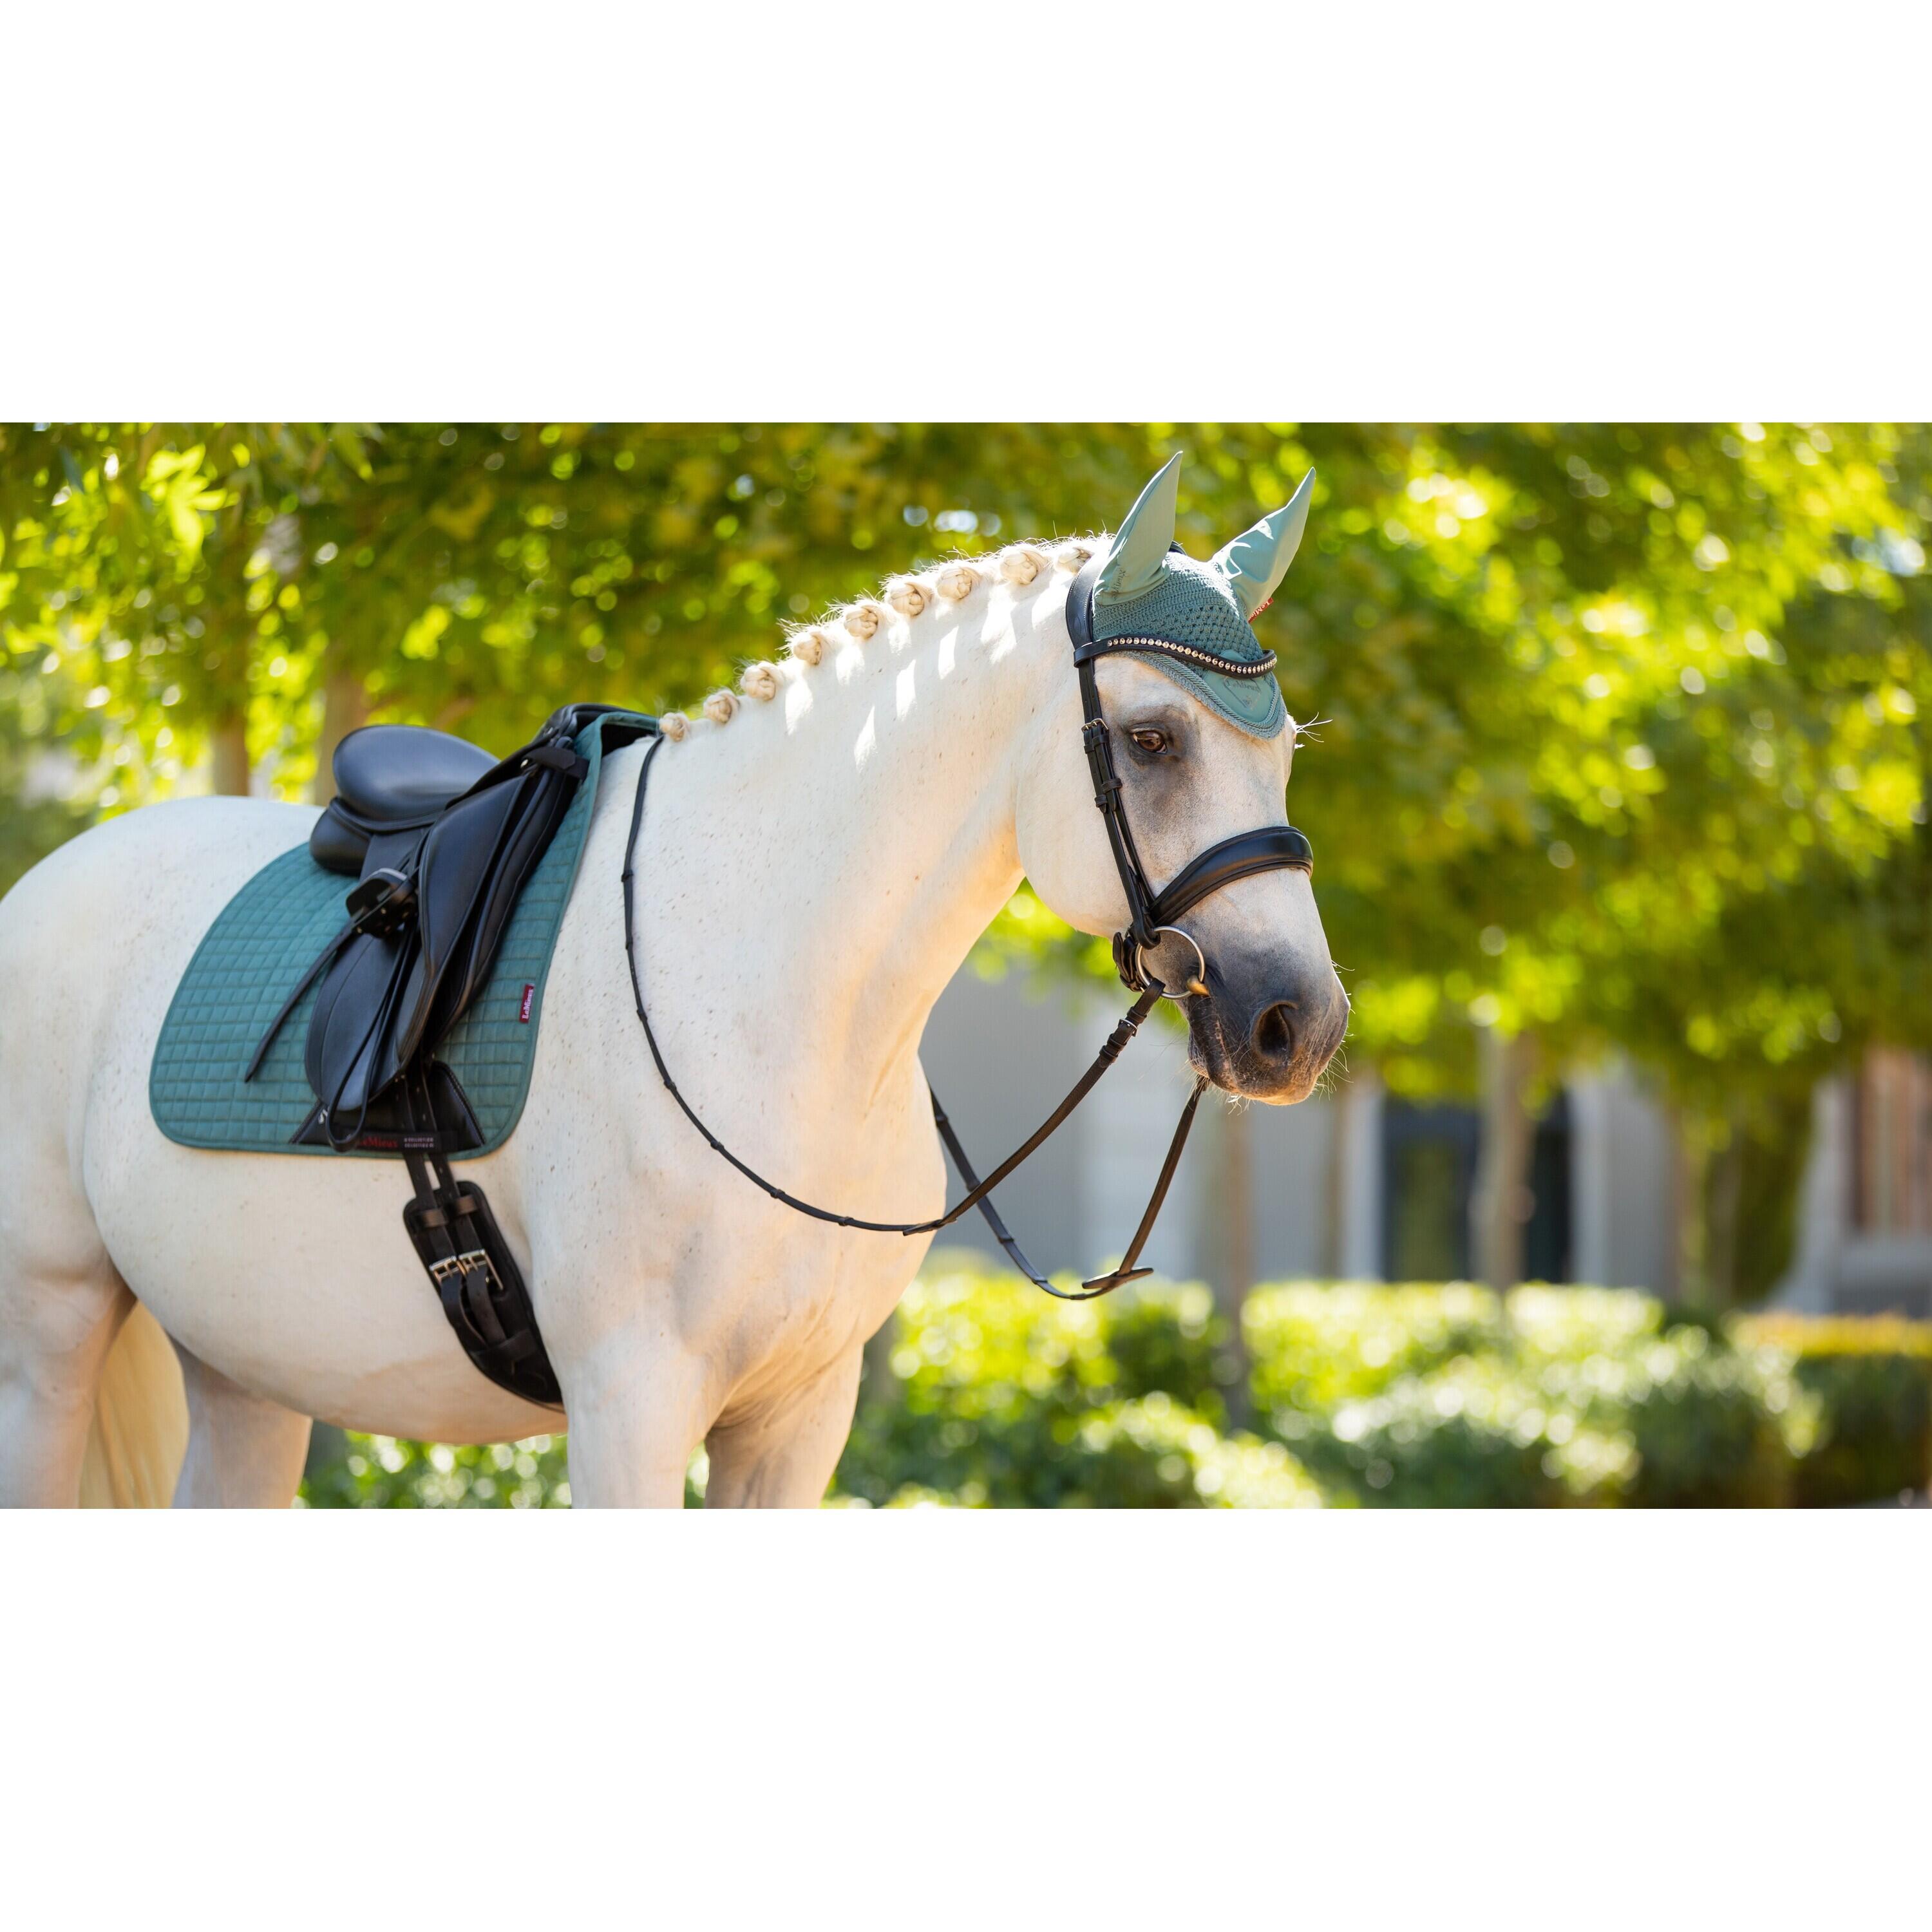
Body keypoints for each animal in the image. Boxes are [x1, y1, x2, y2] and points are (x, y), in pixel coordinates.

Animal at [0, 457, 1348, 1507]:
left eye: (1285, 748)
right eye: (1152, 740)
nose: (1300, 1024)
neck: (777, 1012)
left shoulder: (799, 1419)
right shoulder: (630, 1410)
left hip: (248, 1373)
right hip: (48, 1342)